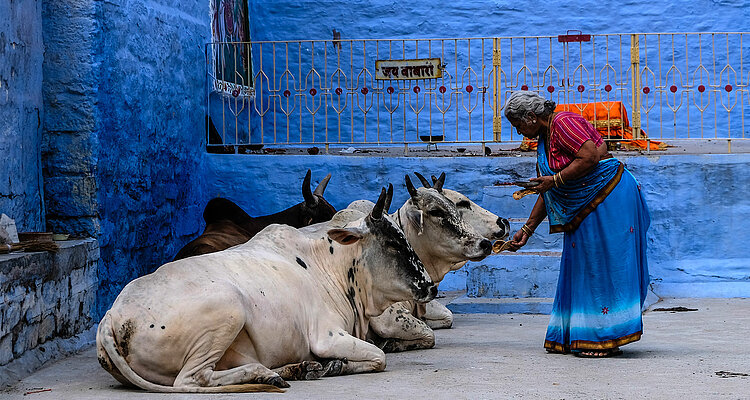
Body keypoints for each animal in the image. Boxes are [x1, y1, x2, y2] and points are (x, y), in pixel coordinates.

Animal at [95, 186, 434, 392]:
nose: (430, 285)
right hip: (229, 307)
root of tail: (111, 317)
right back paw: (262, 372)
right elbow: (379, 356)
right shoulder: (327, 336)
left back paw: (295, 369)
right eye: (392, 243)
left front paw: (327, 366)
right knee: (191, 379)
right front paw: (337, 365)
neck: (330, 266)